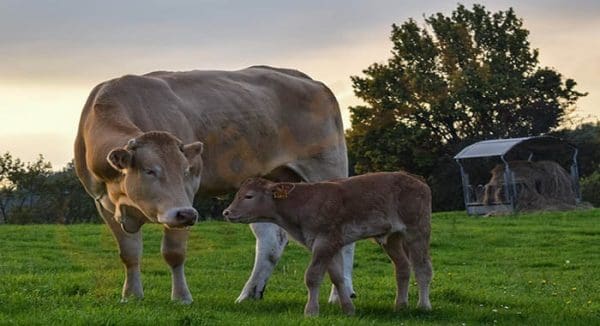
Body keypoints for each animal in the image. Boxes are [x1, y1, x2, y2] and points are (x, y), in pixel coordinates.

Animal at [72, 65, 354, 304]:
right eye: (149, 170)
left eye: (187, 171)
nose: (185, 213)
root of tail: (309, 80)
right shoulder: (103, 204)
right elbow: (129, 254)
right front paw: (131, 296)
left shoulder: (185, 201)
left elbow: (174, 253)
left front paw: (181, 298)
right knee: (270, 240)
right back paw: (250, 294)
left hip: (328, 167)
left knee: (343, 238)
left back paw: (340, 294)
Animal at [223, 172, 434, 318]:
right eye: (237, 194)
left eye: (249, 196)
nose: (227, 212)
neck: (302, 203)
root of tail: (414, 178)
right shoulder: (329, 244)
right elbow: (337, 277)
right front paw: (348, 309)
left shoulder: (325, 241)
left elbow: (313, 276)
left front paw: (311, 311)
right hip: (392, 238)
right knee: (403, 268)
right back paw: (400, 305)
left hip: (417, 231)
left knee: (422, 269)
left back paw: (423, 306)